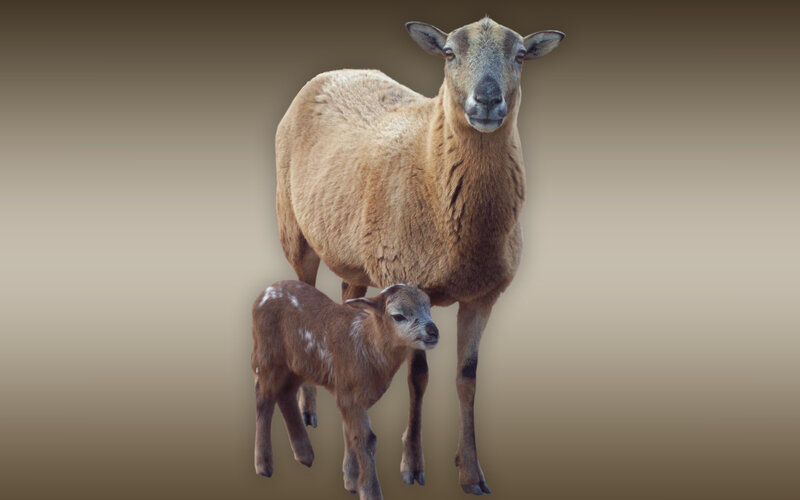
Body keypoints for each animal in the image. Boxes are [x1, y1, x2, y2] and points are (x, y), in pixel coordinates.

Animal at [251, 280, 439, 500]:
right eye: (398, 315)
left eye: (428, 307)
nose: (433, 331)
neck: (367, 344)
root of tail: (265, 292)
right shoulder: (349, 394)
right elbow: (367, 440)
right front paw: (369, 491)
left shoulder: (348, 393)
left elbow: (350, 433)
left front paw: (351, 481)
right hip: (268, 354)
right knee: (263, 397)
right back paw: (264, 465)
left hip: (297, 363)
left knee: (285, 393)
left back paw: (305, 455)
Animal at [274, 17, 564, 494]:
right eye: (448, 52)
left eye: (520, 55)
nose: (487, 100)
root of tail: (336, 70)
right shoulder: (409, 277)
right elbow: (418, 377)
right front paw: (412, 465)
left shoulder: (483, 296)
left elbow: (467, 378)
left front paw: (471, 472)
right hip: (294, 230)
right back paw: (309, 410)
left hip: (355, 255)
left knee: (346, 298)